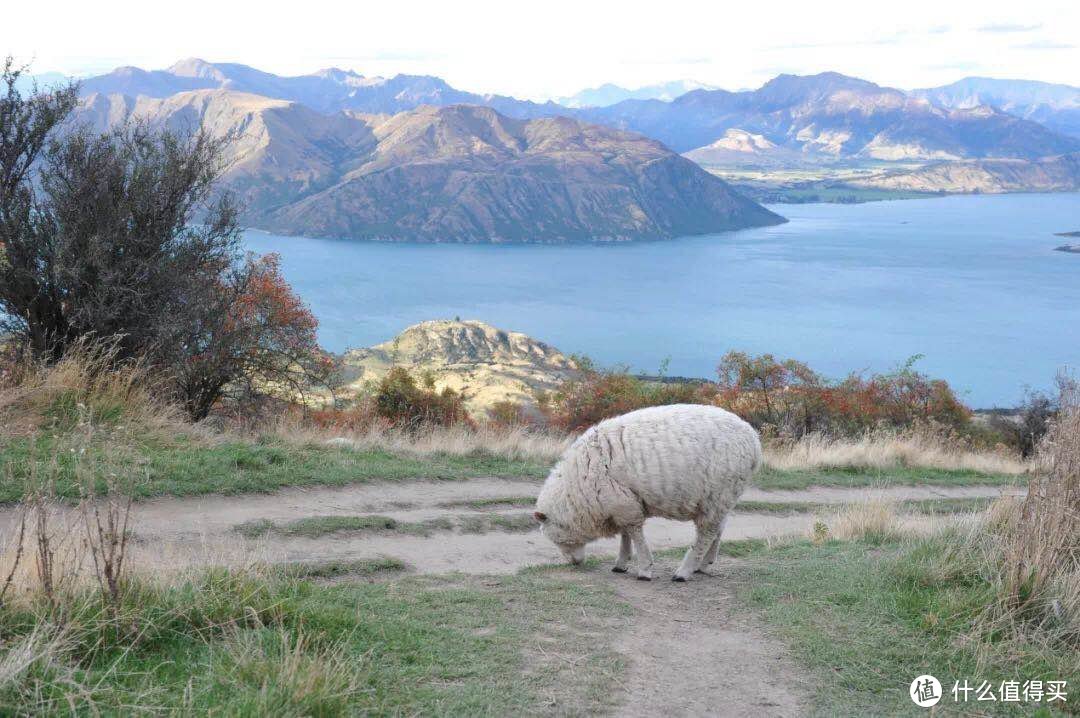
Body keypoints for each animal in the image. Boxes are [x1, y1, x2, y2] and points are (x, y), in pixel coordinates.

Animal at [535, 403, 764, 583]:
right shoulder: (622, 502)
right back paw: (704, 564)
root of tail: (754, 440)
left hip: (717, 494)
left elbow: (634, 533)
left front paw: (644, 568)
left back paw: (684, 571)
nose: (575, 563)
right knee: (719, 528)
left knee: (706, 533)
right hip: (723, 497)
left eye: (557, 540)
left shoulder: (624, 505)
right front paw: (622, 563)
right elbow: (626, 533)